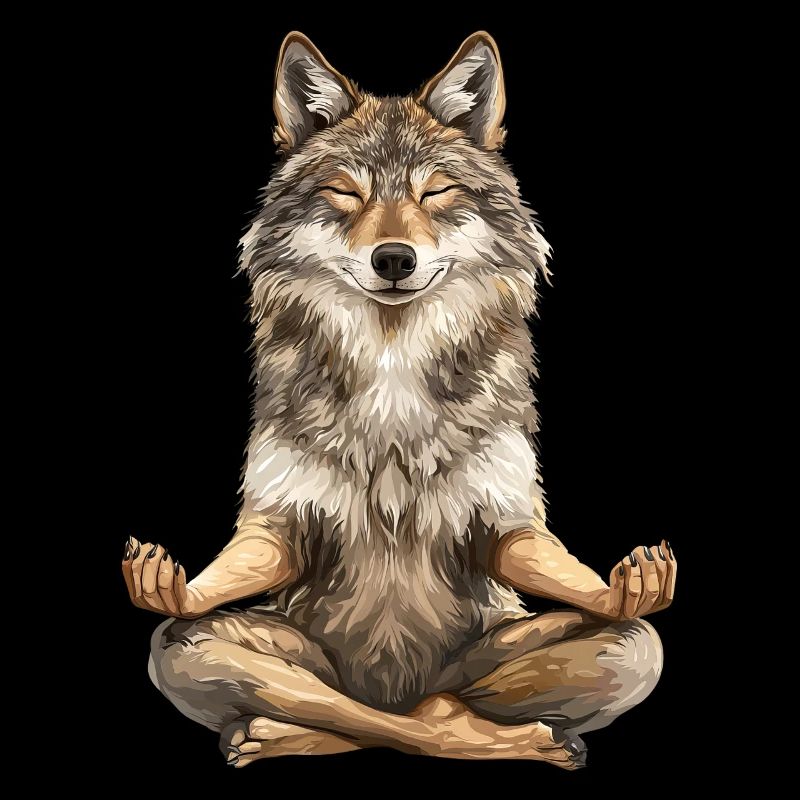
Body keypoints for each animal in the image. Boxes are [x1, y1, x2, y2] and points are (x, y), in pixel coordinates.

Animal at [122, 31, 675, 768]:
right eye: (344, 192)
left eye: (435, 191)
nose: (392, 259)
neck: (392, 368)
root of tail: (397, 693)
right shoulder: (282, 519)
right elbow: (245, 562)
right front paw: (177, 587)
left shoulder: (502, 515)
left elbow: (538, 558)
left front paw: (618, 590)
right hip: (233, 655)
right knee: (328, 701)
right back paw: (280, 732)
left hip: (569, 656)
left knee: (593, 652)